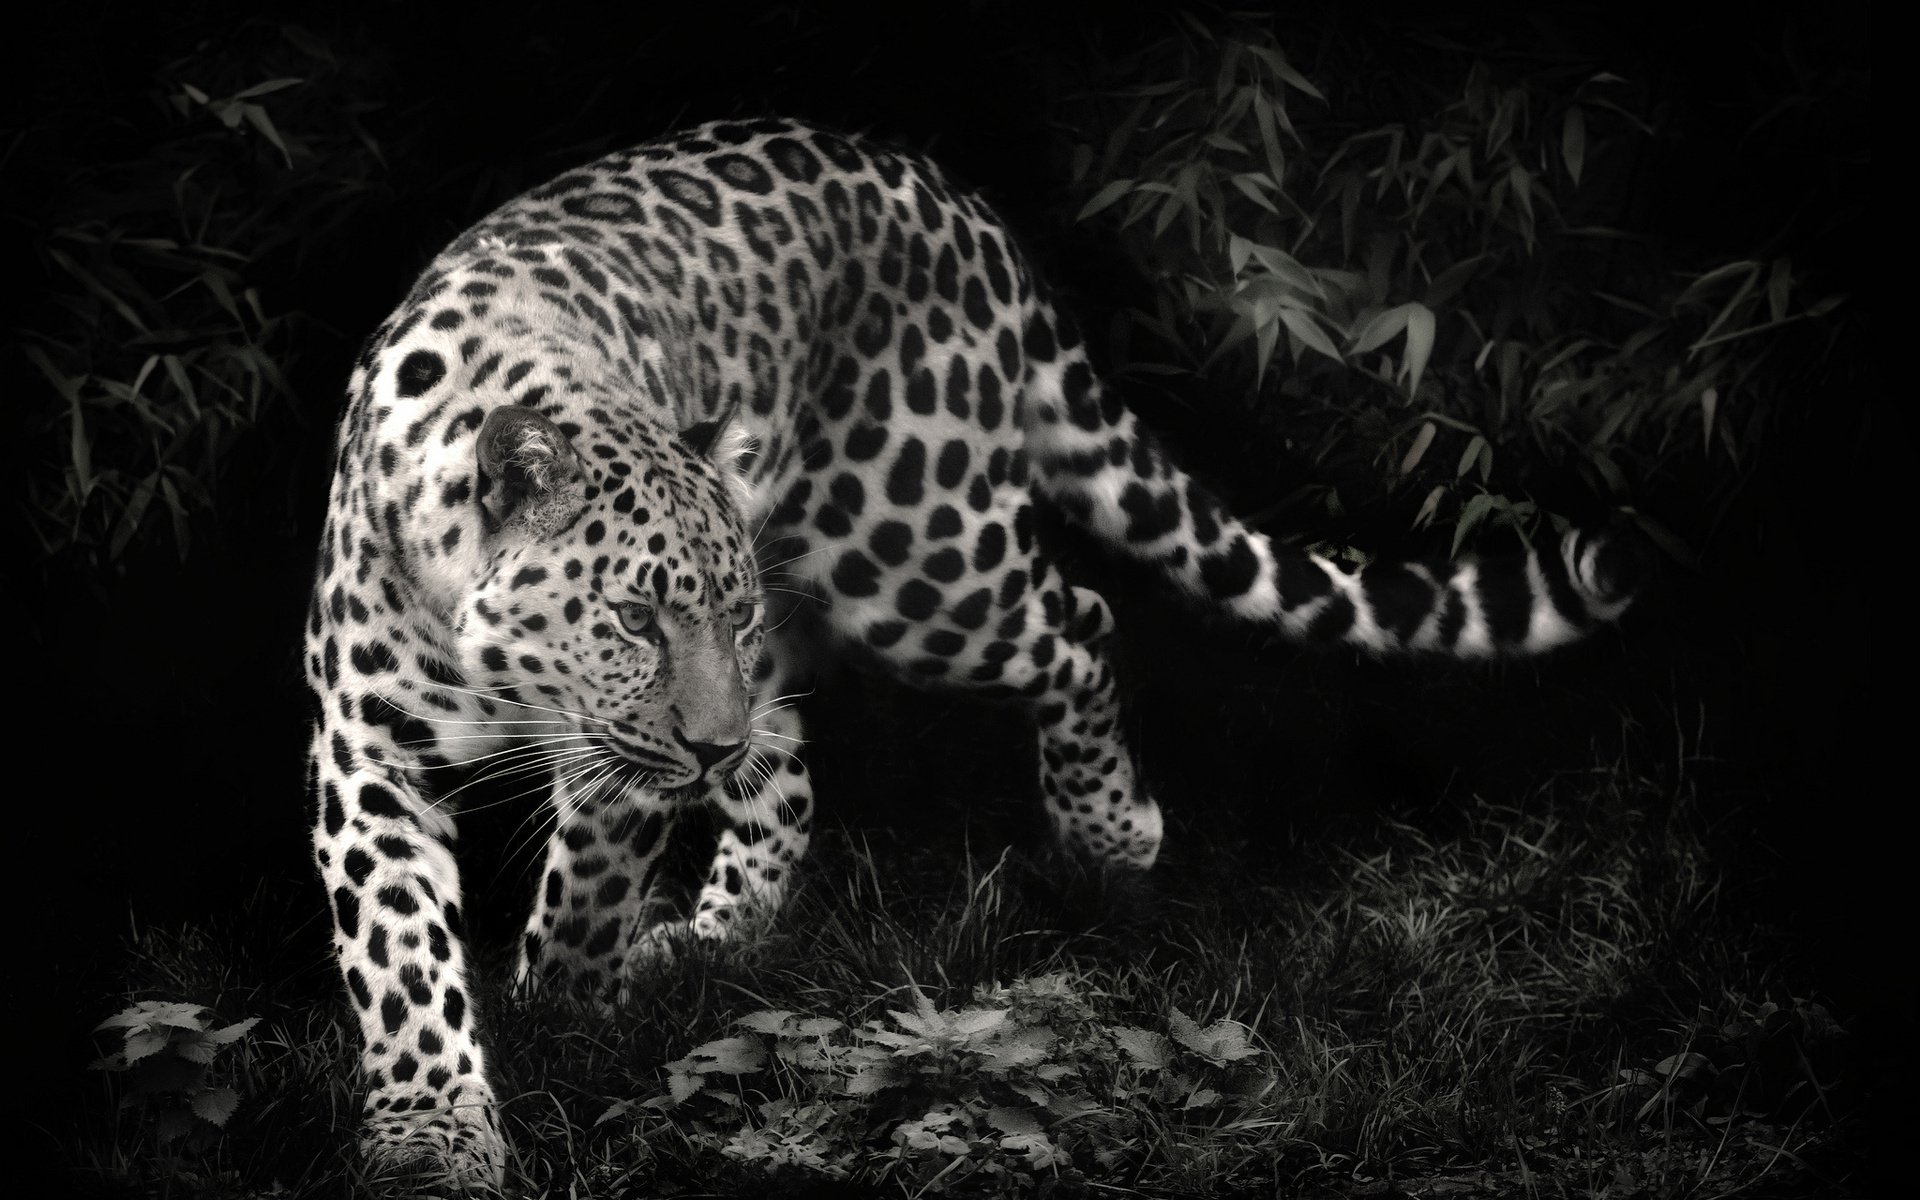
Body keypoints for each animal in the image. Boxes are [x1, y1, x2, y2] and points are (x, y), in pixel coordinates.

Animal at [303, 116, 1638, 1186]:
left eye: (721, 615)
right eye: (636, 617)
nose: (707, 745)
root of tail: (960, 204)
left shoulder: (624, 756)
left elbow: (585, 887)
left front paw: (563, 1014)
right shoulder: (365, 753)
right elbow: (401, 954)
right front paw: (432, 1133)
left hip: (916, 559)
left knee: (1075, 623)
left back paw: (1108, 835)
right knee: (791, 759)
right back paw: (721, 933)